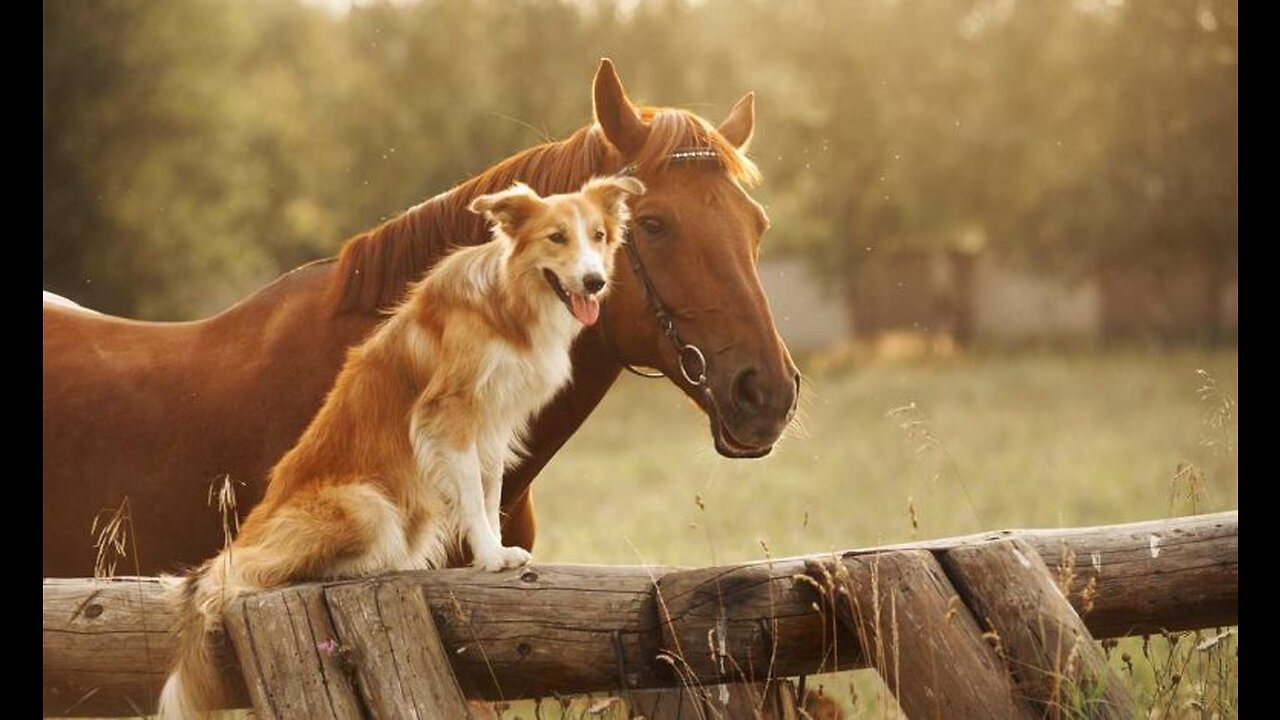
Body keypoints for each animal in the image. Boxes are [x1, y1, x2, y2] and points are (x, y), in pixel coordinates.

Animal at [157, 175, 640, 717]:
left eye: (599, 236)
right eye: (557, 238)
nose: (595, 281)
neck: (508, 302)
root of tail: (246, 537)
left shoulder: (494, 424)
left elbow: (490, 492)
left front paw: (495, 553)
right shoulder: (450, 415)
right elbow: (472, 497)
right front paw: (490, 557)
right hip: (365, 505)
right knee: (249, 575)